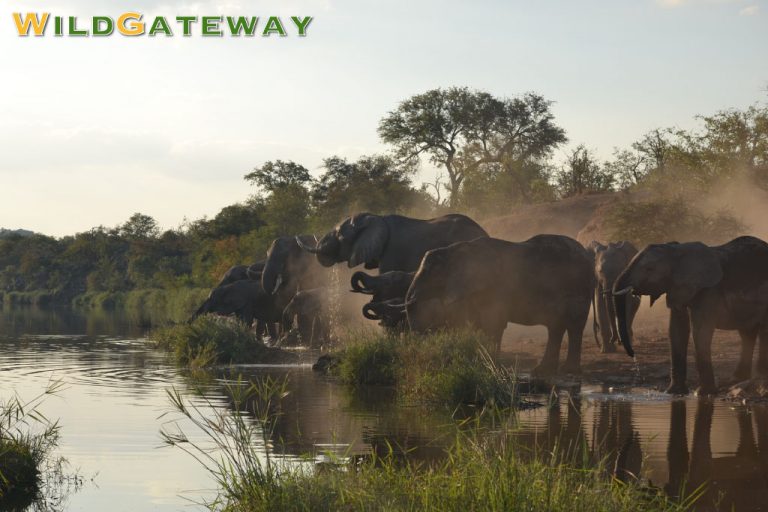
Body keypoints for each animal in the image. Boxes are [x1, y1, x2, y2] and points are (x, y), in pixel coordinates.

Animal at [404, 234, 592, 374]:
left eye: (431, 274)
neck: (455, 249)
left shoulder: (495, 288)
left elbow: (493, 324)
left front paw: (491, 367)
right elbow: (479, 323)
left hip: (579, 288)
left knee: (574, 326)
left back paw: (568, 371)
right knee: (556, 327)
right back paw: (543, 371)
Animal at [616, 234, 768, 394]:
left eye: (649, 269)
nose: (632, 354)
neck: (677, 250)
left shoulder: (709, 290)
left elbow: (700, 330)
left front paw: (703, 393)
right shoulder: (676, 287)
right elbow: (677, 329)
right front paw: (673, 392)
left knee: (762, 330)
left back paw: (760, 377)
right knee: (747, 333)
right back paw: (736, 379)